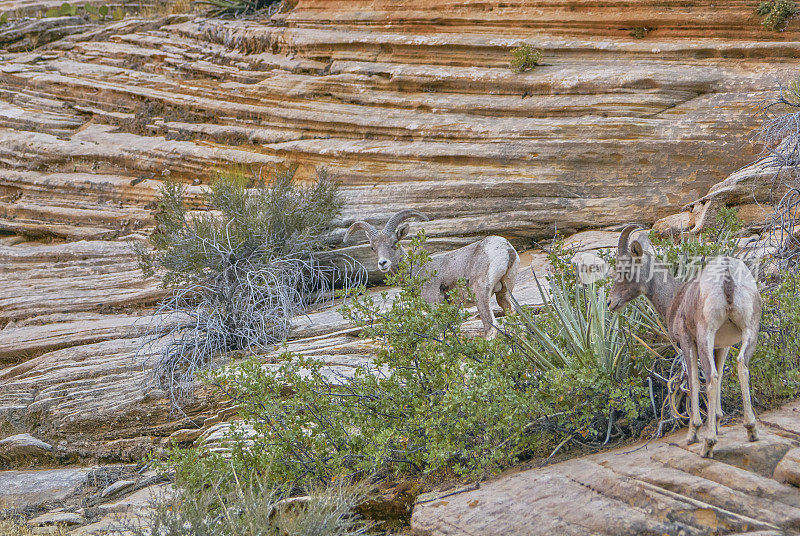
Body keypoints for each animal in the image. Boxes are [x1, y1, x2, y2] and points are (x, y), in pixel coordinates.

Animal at [344, 208, 520, 338]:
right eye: (372, 247)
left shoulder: (434, 305)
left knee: (490, 326)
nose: (383, 263)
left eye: (394, 242)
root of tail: (506, 249)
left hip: (480, 292)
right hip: (504, 293)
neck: (417, 271)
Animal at [608, 224, 764, 458]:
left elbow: (693, 382)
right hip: (750, 331)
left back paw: (708, 445)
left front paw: (694, 432)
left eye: (623, 270)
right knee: (741, 367)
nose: (610, 302)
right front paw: (717, 422)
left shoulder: (687, 342)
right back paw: (751, 430)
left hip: (705, 335)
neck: (674, 298)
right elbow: (721, 378)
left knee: (710, 377)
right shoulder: (723, 346)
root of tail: (727, 276)